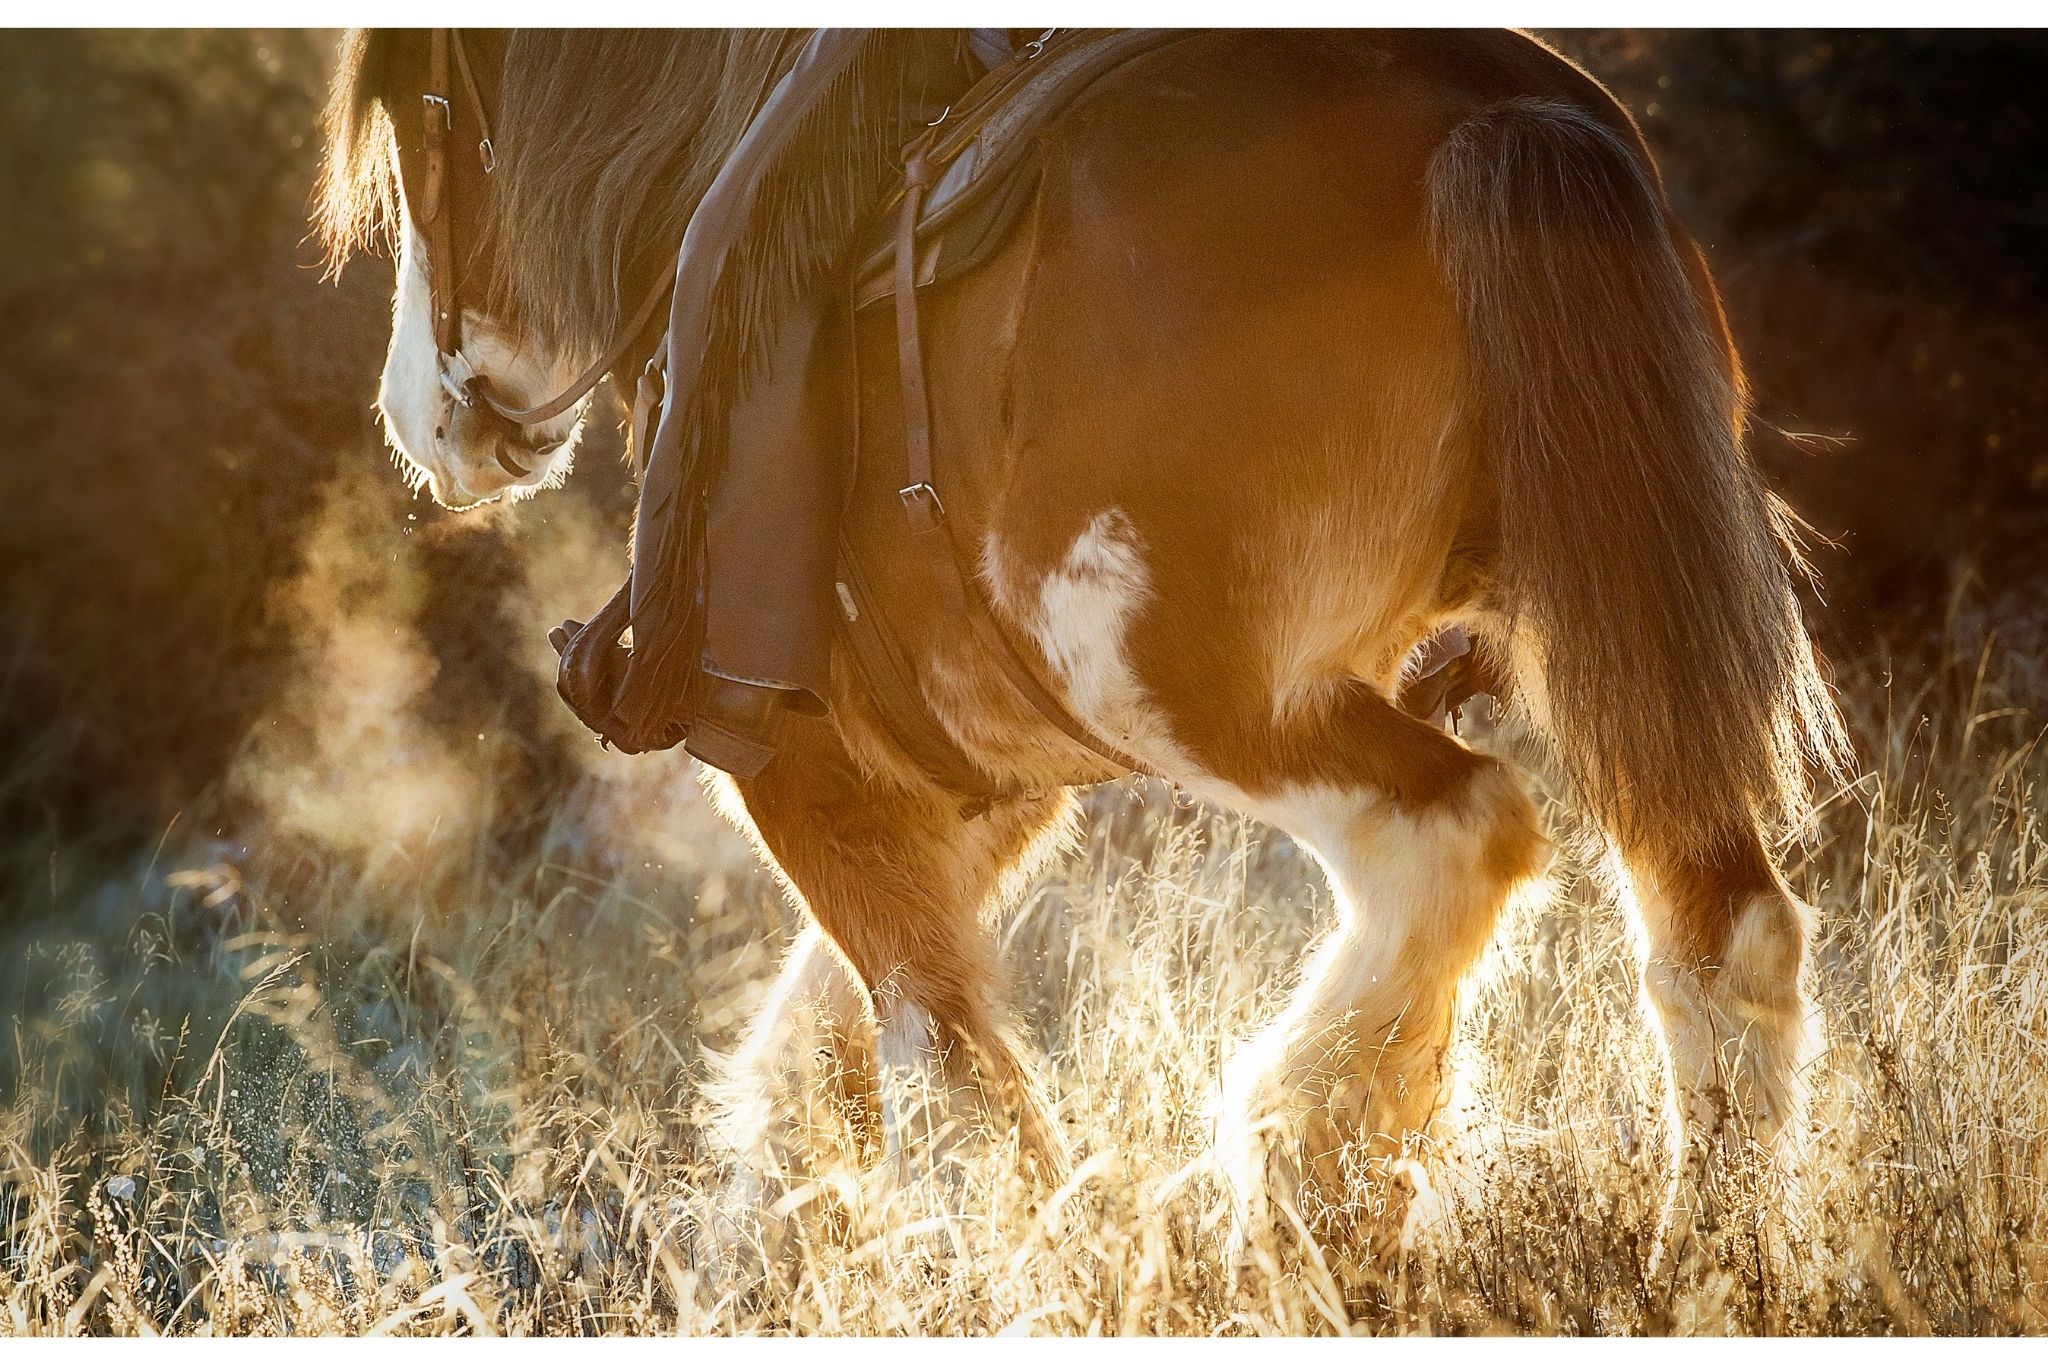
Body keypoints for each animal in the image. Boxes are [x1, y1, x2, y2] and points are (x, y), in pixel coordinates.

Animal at [318, 28, 1848, 1270]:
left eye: (420, 125)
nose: (420, 422)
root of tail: (1488, 114)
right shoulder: (989, 778)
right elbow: (830, 1040)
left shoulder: (810, 764)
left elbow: (938, 1052)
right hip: (1610, 632)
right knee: (1727, 929)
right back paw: (1704, 1256)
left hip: (1202, 691)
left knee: (1454, 833)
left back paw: (1299, 1176)